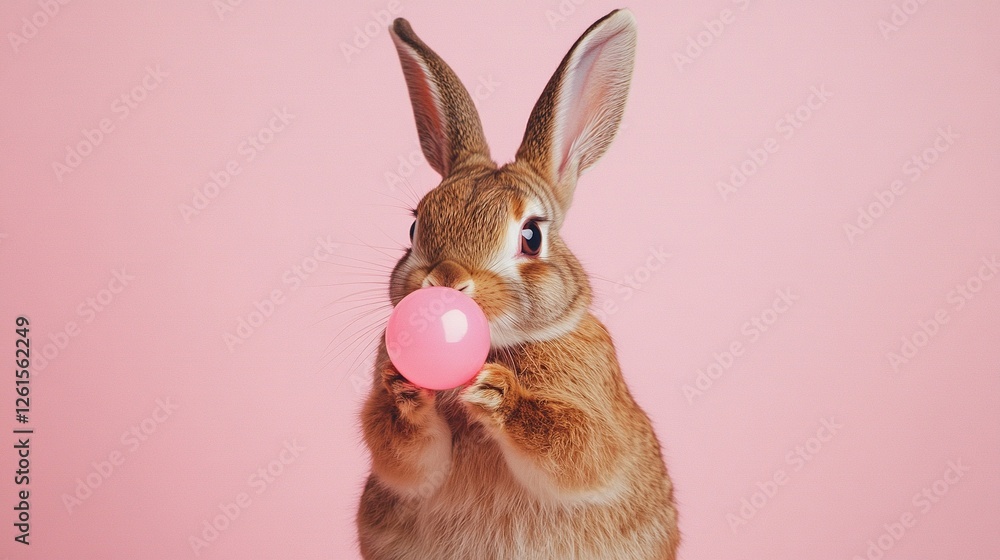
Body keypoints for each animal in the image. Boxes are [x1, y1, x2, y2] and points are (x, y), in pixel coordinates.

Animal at [357, 9, 679, 560]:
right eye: (415, 227)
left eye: (531, 236)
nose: (445, 281)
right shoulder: (406, 459)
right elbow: (408, 455)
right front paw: (404, 387)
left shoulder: (593, 422)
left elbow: (577, 448)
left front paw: (497, 392)